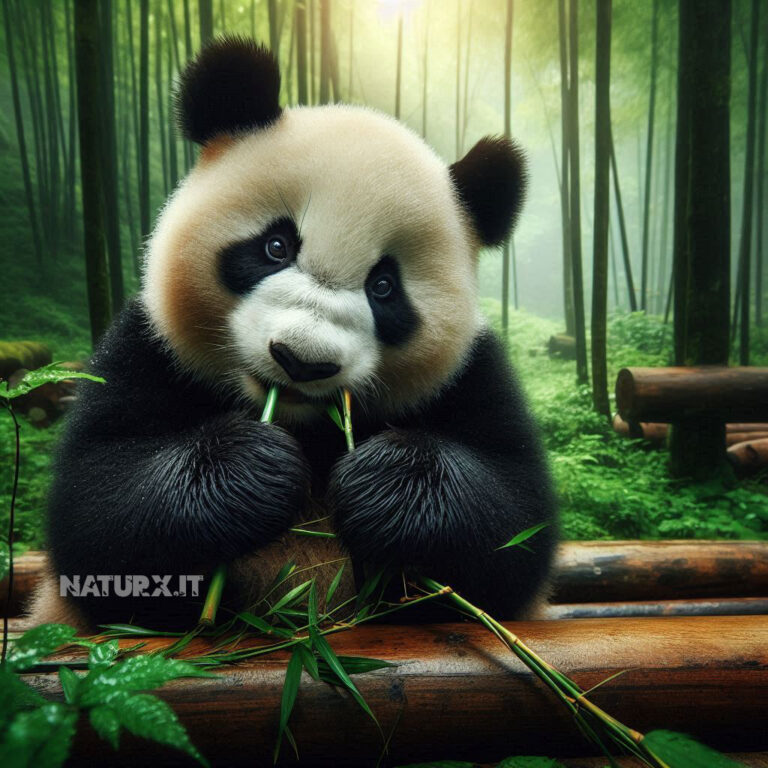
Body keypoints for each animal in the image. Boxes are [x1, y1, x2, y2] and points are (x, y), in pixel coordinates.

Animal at [31, 37, 557, 631]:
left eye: (383, 287)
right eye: (276, 246)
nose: (302, 360)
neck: (303, 426)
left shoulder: (473, 372)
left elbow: (512, 529)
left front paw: (385, 483)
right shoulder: (145, 347)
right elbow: (97, 508)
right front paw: (249, 469)